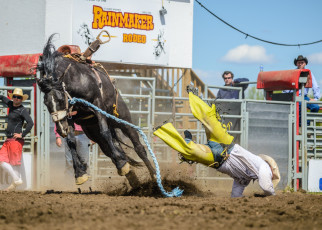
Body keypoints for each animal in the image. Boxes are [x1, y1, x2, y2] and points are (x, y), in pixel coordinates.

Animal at [36, 35, 156, 186]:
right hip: (94, 132)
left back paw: (153, 174)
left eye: (59, 99)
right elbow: (70, 141)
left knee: (138, 147)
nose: (61, 128)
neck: (77, 79)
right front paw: (80, 174)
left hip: (123, 120)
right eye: (46, 102)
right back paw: (127, 172)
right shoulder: (70, 117)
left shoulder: (97, 106)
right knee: (113, 149)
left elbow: (105, 132)